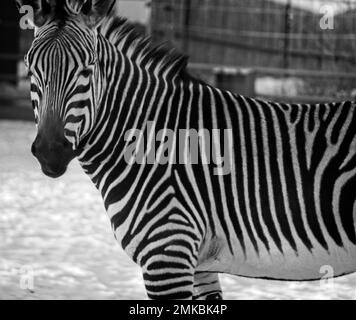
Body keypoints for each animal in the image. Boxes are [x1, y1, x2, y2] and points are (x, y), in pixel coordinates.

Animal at [15, 0, 356, 300]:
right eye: (30, 69)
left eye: (87, 70)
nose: (50, 152)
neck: (152, 138)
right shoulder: (199, 264)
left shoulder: (166, 254)